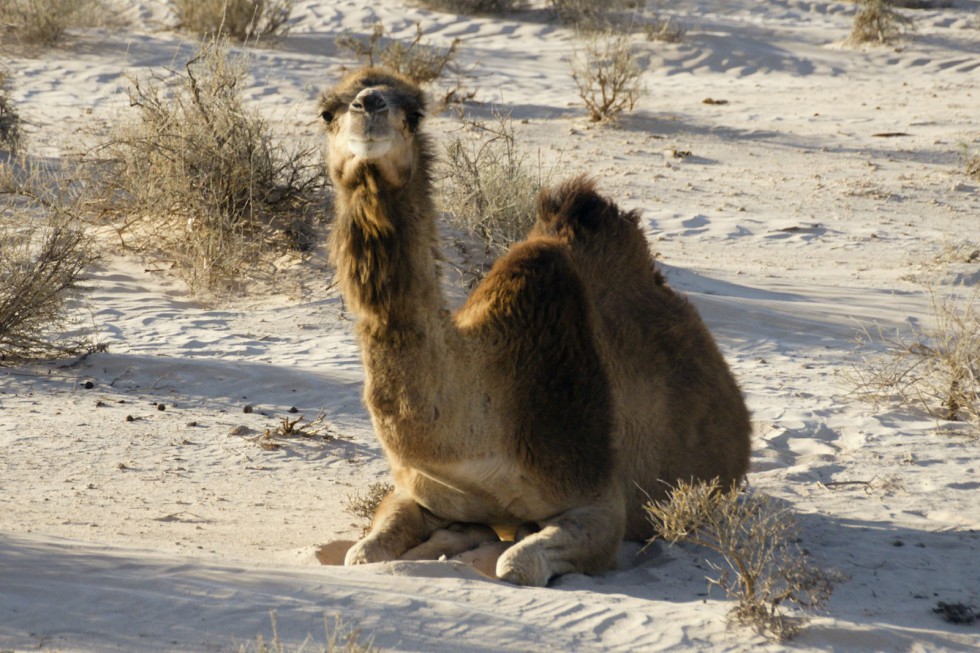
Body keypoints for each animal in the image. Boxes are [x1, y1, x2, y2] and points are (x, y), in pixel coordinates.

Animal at [320, 66, 752, 584]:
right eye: (327, 111)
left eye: (416, 111)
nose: (369, 105)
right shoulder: (416, 489)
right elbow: (362, 553)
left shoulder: (596, 497)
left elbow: (517, 564)